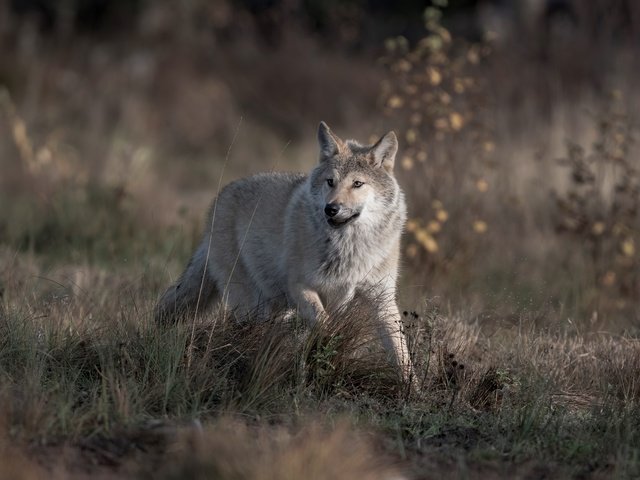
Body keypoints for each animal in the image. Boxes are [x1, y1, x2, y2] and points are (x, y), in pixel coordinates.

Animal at [158, 123, 412, 382]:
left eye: (357, 184)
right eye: (330, 181)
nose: (330, 209)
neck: (349, 247)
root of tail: (219, 199)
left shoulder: (382, 298)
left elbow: (401, 353)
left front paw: (411, 387)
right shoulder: (300, 286)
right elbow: (324, 324)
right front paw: (325, 352)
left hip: (276, 308)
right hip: (253, 306)